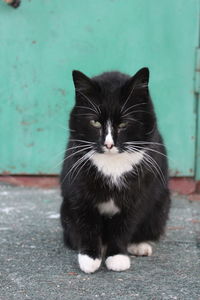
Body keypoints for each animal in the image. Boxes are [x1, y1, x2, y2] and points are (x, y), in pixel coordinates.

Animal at [59, 68, 170, 274]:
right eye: (95, 123)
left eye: (123, 124)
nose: (108, 144)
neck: (113, 166)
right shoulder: (79, 190)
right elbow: (87, 222)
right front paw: (89, 258)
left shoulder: (138, 193)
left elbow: (125, 224)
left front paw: (117, 256)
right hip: (65, 210)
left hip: (162, 204)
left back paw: (138, 245)